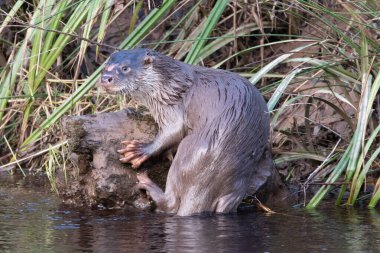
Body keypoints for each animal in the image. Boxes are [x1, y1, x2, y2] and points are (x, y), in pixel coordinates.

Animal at [98, 48, 270, 216]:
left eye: (125, 68)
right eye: (105, 67)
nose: (105, 78)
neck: (169, 86)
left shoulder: (172, 107)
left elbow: (174, 130)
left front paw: (138, 150)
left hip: (186, 155)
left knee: (171, 203)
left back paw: (146, 183)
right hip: (236, 186)